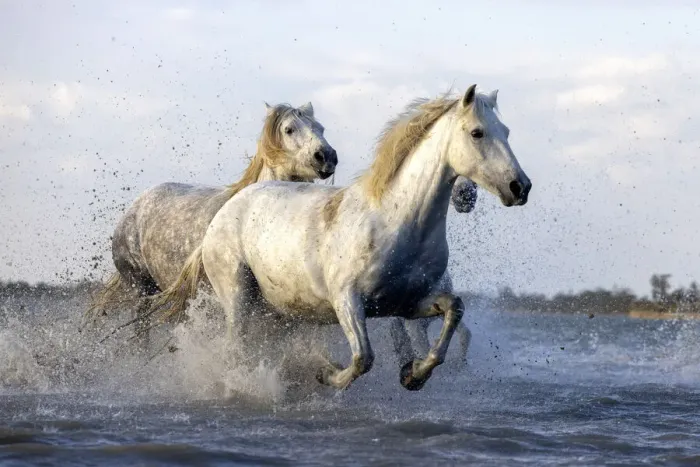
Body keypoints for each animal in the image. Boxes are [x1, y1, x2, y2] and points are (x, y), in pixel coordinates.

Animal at [156, 85, 531, 391]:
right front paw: (325, 374)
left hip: (281, 310)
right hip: (239, 299)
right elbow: (363, 357)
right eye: (477, 133)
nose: (520, 187)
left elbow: (454, 311)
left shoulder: (407, 304)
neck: (398, 223)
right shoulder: (347, 302)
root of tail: (227, 209)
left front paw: (412, 375)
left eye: (507, 131)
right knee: (235, 350)